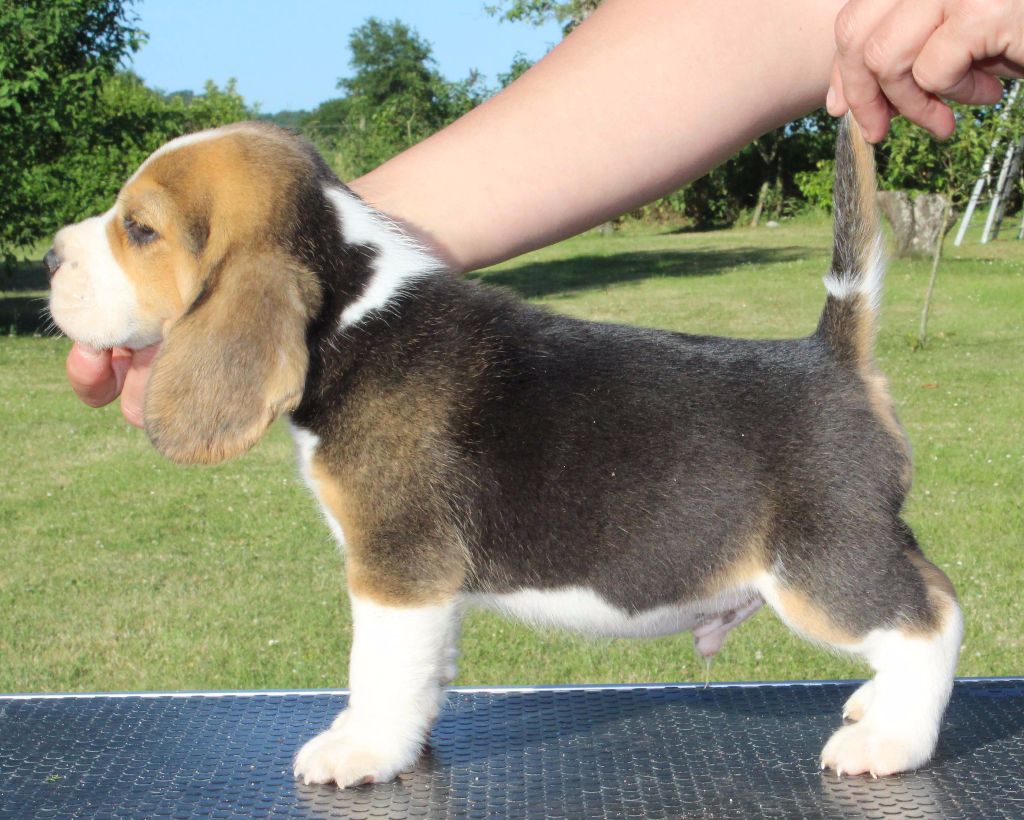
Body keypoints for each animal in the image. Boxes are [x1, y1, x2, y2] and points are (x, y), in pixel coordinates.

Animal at [46, 116, 961, 786]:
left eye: (140, 229)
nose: (50, 256)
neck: (351, 314)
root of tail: (830, 357)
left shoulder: (397, 567)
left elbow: (378, 668)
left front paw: (361, 750)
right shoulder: (423, 588)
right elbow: (419, 674)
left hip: (819, 566)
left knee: (932, 621)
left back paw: (891, 739)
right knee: (928, 595)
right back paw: (874, 706)